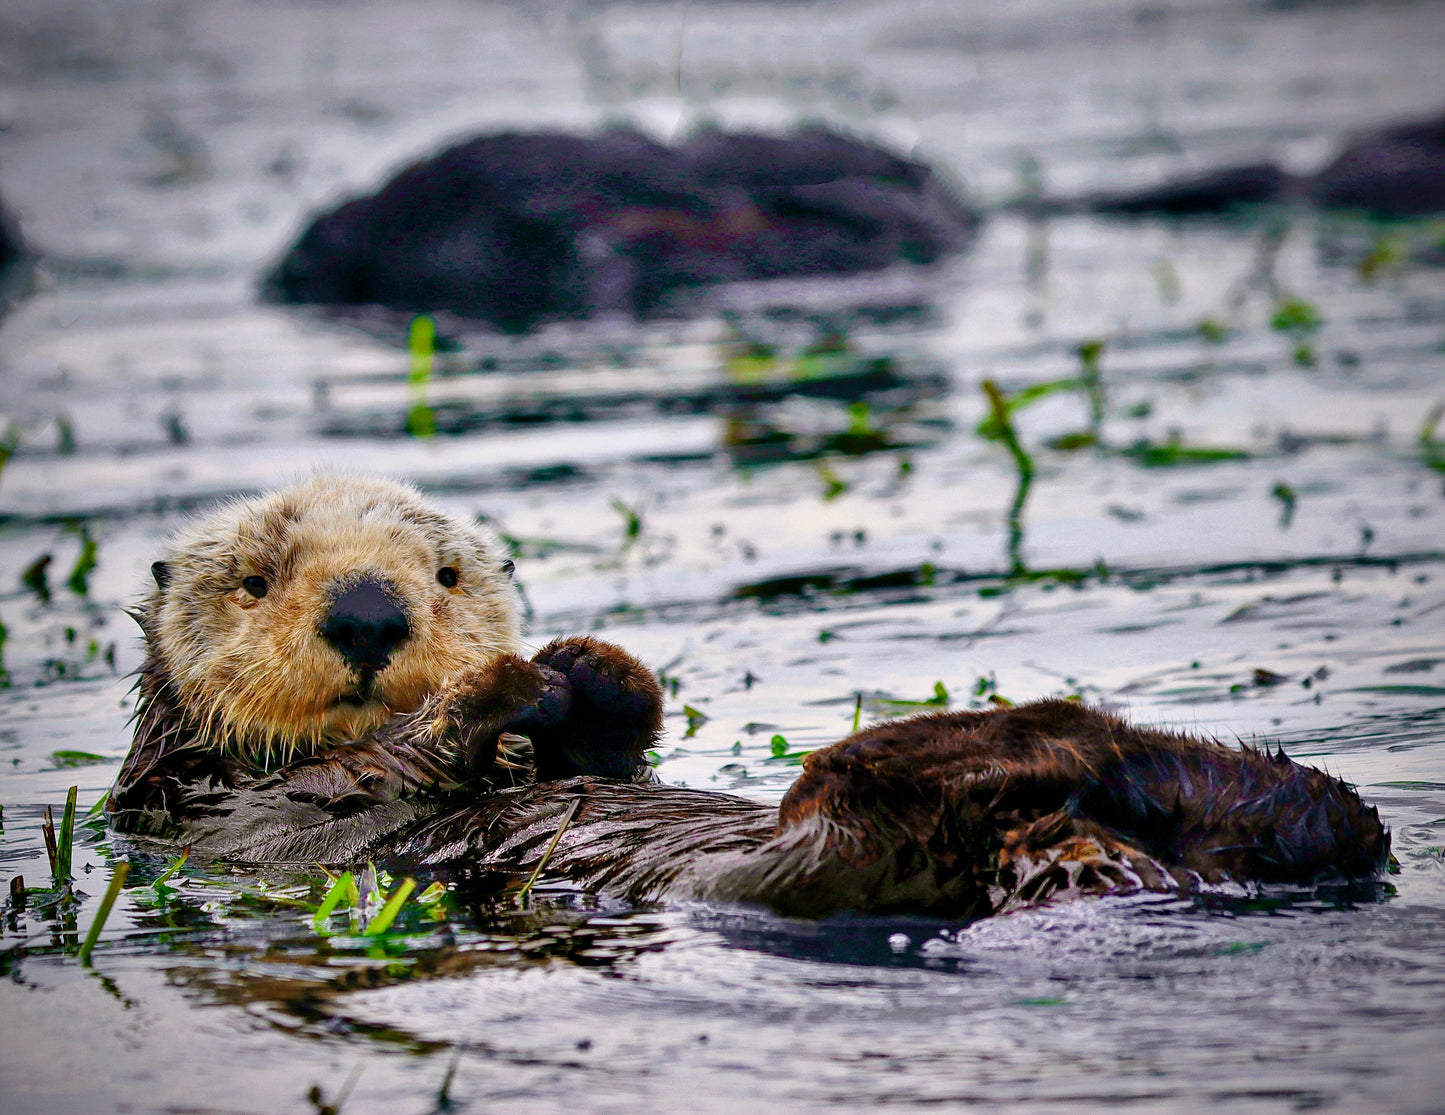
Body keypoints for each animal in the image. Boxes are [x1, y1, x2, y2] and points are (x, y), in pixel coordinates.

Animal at [109, 473, 1387, 918]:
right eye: (255, 578)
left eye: (446, 573)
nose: (370, 610)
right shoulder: (212, 809)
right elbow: (366, 776)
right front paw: (509, 683)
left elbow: (611, 742)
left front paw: (587, 669)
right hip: (842, 850)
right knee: (879, 796)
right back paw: (1028, 730)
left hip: (1278, 811)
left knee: (1329, 814)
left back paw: (1093, 733)